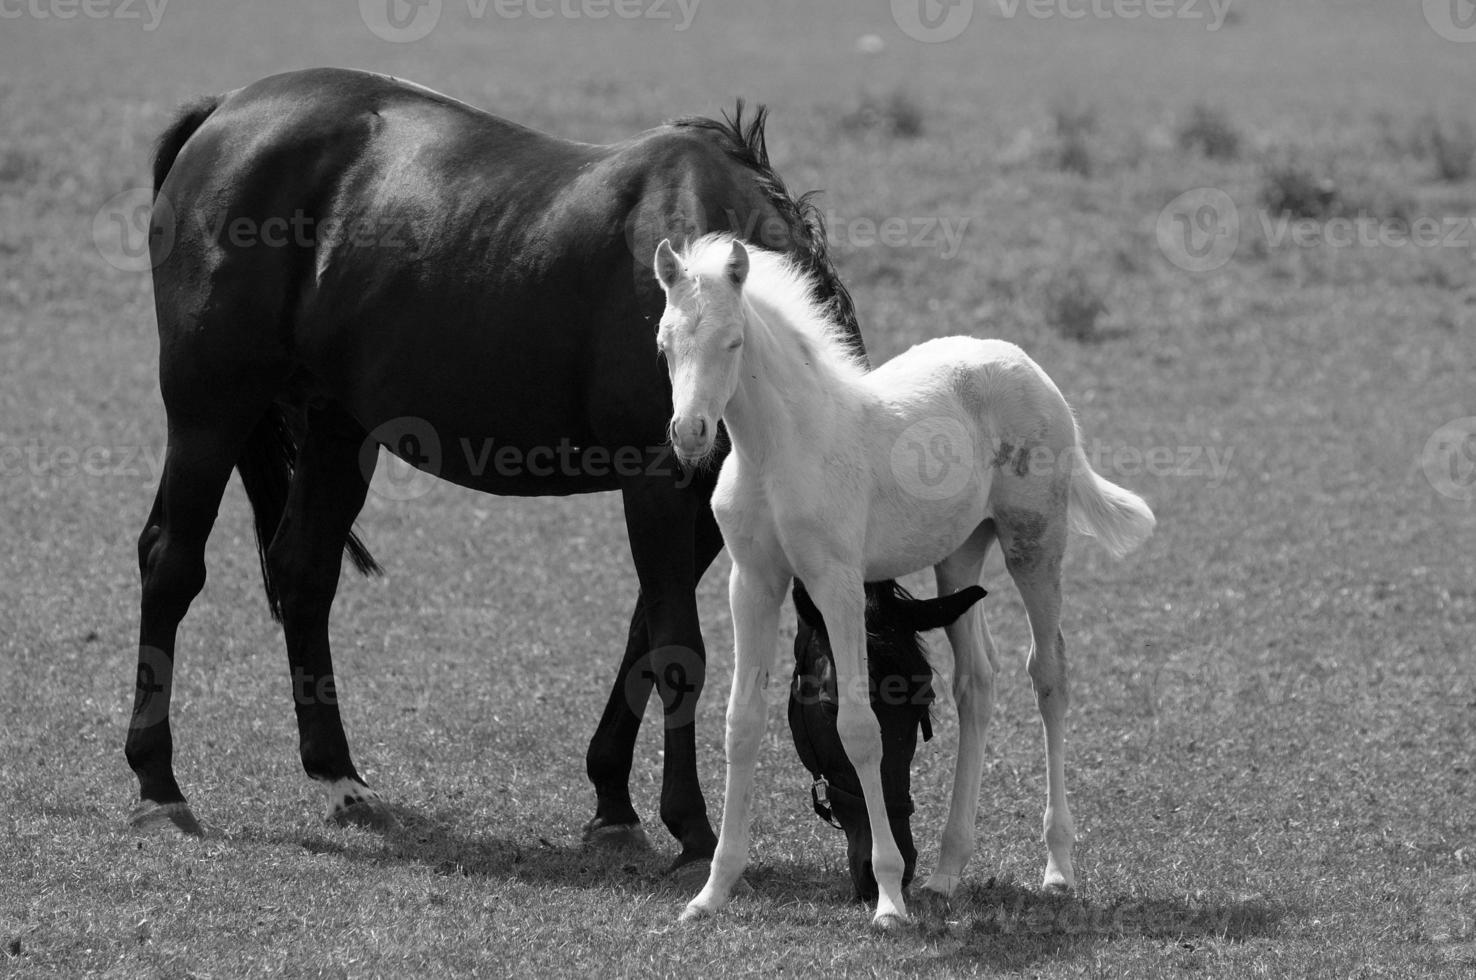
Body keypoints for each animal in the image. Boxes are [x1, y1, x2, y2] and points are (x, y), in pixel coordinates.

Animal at [126, 64, 968, 867]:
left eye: (919, 706)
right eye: (838, 703)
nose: (890, 863)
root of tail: (225, 110)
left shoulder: (703, 506)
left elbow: (642, 638)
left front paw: (613, 803)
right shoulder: (657, 481)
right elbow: (678, 652)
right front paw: (692, 827)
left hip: (340, 426)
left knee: (304, 572)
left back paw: (339, 777)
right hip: (212, 409)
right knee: (171, 563)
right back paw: (158, 785)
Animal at [655, 233, 1151, 920]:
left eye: (732, 341)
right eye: (664, 343)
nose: (690, 433)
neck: (779, 451)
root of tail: (1025, 365)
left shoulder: (835, 582)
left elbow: (859, 728)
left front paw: (889, 897)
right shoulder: (752, 581)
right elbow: (741, 721)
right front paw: (712, 891)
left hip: (1034, 543)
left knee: (1048, 674)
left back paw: (1057, 867)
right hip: (960, 553)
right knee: (976, 681)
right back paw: (946, 872)